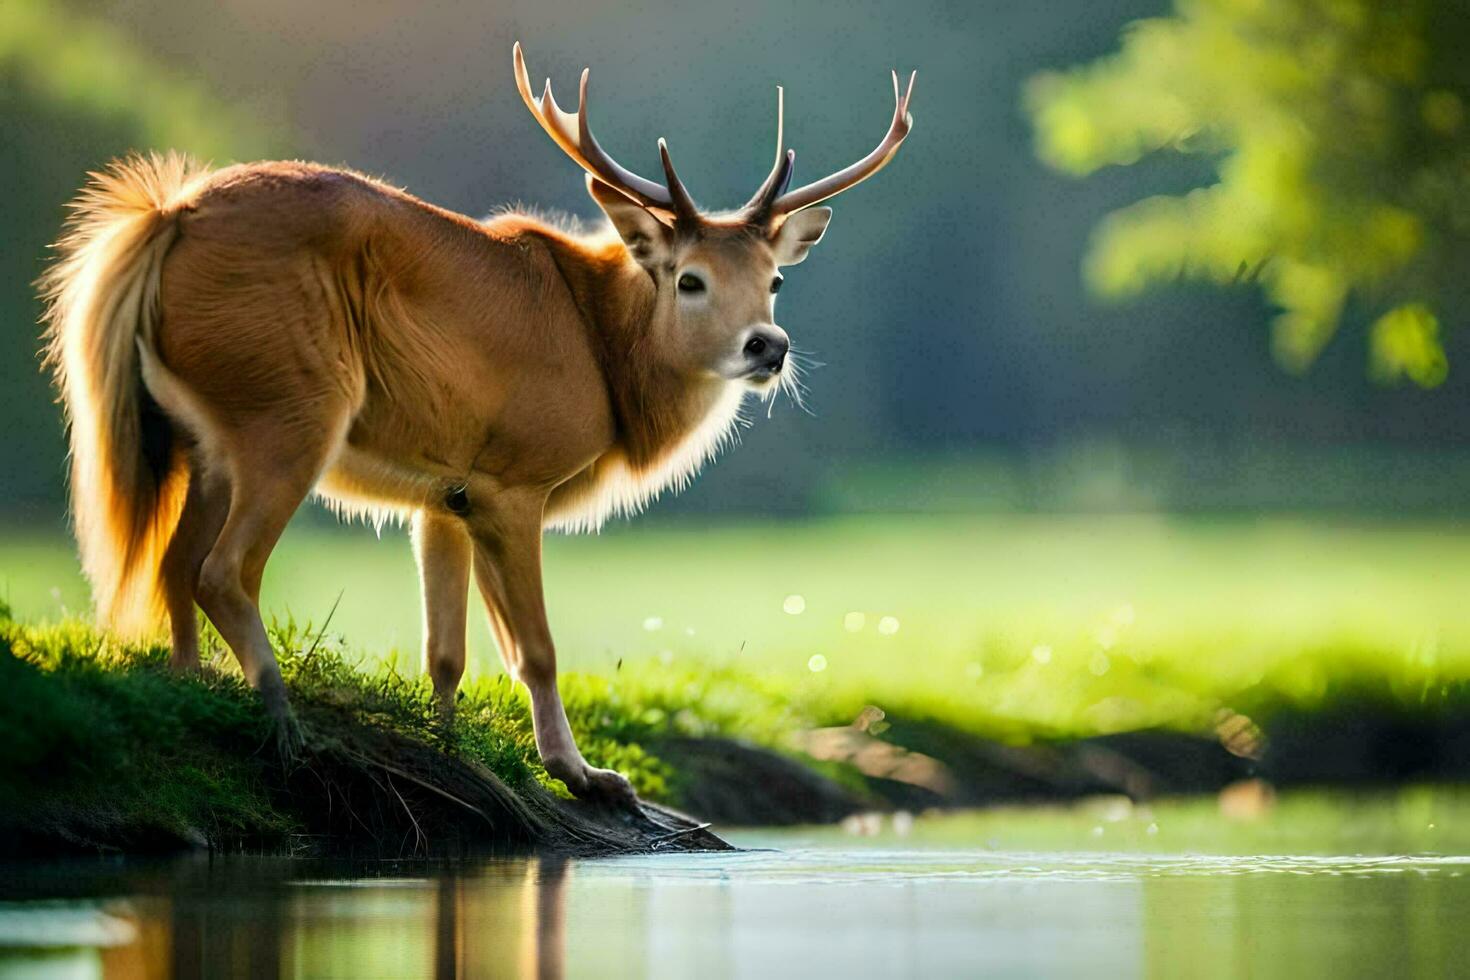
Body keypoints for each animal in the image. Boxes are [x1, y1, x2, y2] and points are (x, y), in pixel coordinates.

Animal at [40, 42, 911, 799]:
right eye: (690, 279)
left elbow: (447, 651)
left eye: (775, 280)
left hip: (203, 437)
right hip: (289, 409)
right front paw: (581, 773)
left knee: (171, 562)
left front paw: (453, 746)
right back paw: (282, 719)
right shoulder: (509, 480)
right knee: (223, 569)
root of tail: (166, 217)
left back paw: (194, 687)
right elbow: (536, 649)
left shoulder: (443, 496)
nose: (768, 346)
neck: (607, 357)